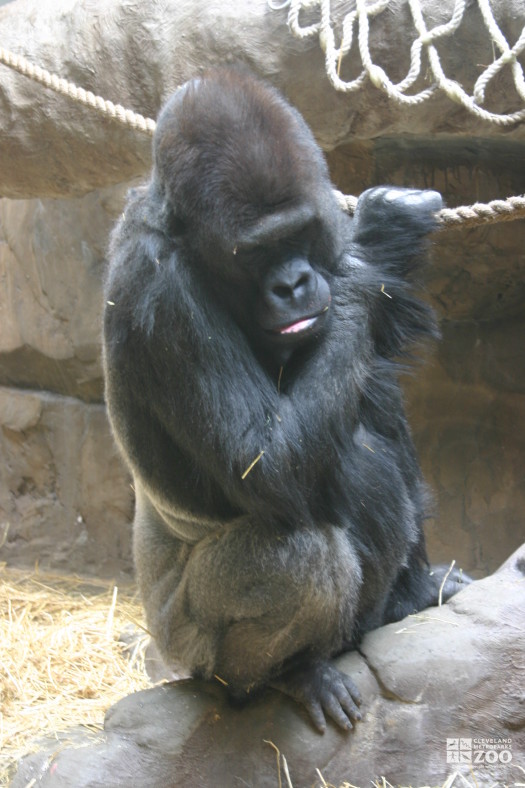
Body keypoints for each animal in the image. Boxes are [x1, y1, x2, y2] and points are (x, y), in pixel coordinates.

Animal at [103, 67, 466, 732]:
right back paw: (286, 676)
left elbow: (367, 376)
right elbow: (266, 461)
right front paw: (381, 239)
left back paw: (404, 599)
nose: (294, 283)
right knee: (301, 558)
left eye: (297, 234)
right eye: (254, 252)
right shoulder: (164, 292)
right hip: (189, 645)